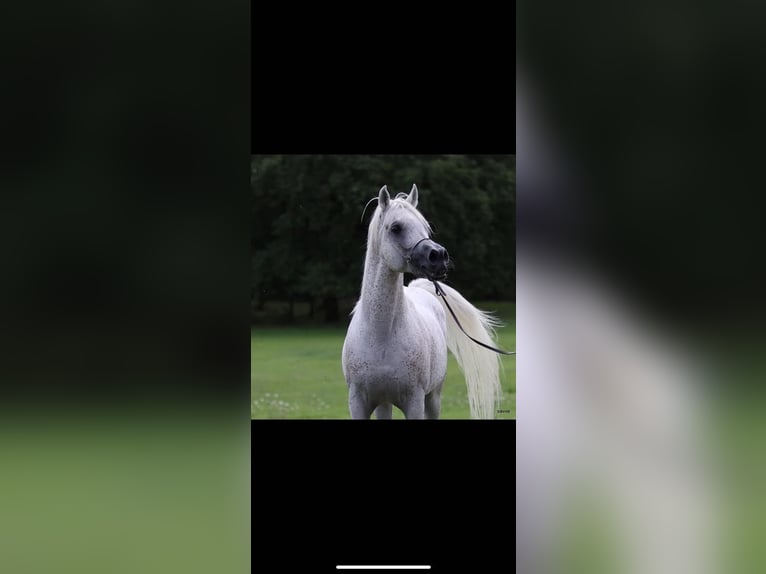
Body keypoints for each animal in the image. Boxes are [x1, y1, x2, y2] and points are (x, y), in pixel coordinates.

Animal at [342, 184, 504, 419]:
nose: (439, 256)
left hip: (433, 397)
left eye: (426, 227)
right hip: (384, 404)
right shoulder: (358, 404)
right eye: (396, 227)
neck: (380, 334)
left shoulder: (415, 402)